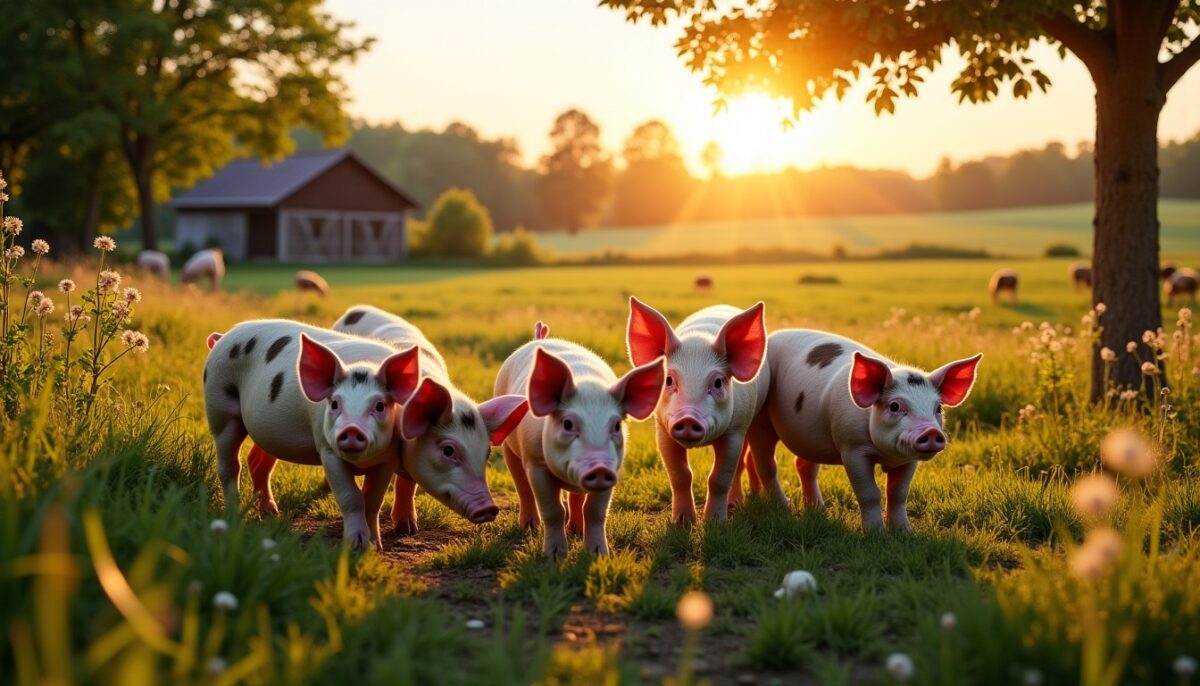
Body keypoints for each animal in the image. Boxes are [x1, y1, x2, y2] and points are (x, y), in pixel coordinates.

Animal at [204, 319, 420, 550]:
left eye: (380, 405)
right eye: (334, 403)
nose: (351, 429)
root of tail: (223, 337)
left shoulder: (388, 457)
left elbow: (372, 500)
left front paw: (374, 547)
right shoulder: (327, 449)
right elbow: (351, 497)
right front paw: (355, 547)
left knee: (257, 462)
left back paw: (271, 513)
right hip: (219, 406)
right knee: (229, 464)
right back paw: (235, 514)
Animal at [246, 305, 529, 531]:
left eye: (486, 453)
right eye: (448, 450)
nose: (489, 509)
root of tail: (357, 309)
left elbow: (407, 484)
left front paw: (408, 529)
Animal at [495, 338, 665, 556]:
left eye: (617, 425)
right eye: (568, 424)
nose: (599, 467)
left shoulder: (613, 471)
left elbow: (595, 511)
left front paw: (598, 554)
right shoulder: (536, 464)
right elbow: (553, 510)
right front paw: (554, 556)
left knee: (576, 498)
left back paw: (576, 530)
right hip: (510, 446)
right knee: (522, 485)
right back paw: (530, 527)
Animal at [626, 298, 769, 524]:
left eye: (718, 382)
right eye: (669, 380)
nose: (688, 418)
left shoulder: (735, 430)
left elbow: (719, 478)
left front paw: (716, 522)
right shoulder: (663, 430)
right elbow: (680, 475)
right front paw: (683, 523)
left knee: (739, 466)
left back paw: (733, 505)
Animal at [746, 330, 981, 531]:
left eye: (938, 408)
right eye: (894, 406)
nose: (931, 432)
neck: (885, 455)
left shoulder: (909, 460)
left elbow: (898, 493)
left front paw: (904, 532)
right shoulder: (852, 449)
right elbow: (870, 493)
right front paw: (875, 533)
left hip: (809, 436)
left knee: (804, 466)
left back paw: (818, 510)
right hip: (760, 419)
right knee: (766, 464)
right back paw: (783, 507)